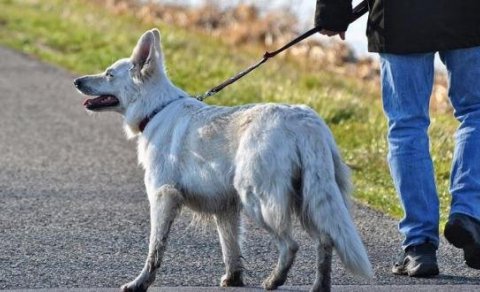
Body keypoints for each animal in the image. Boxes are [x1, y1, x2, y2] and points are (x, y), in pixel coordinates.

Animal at [74, 28, 372, 292]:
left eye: (109, 74)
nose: (76, 81)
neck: (156, 109)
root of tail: (304, 121)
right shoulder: (226, 208)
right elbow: (231, 248)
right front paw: (233, 279)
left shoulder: (163, 197)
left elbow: (155, 249)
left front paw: (140, 284)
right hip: (309, 199)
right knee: (326, 241)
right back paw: (319, 286)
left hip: (258, 199)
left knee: (291, 245)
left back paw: (274, 281)